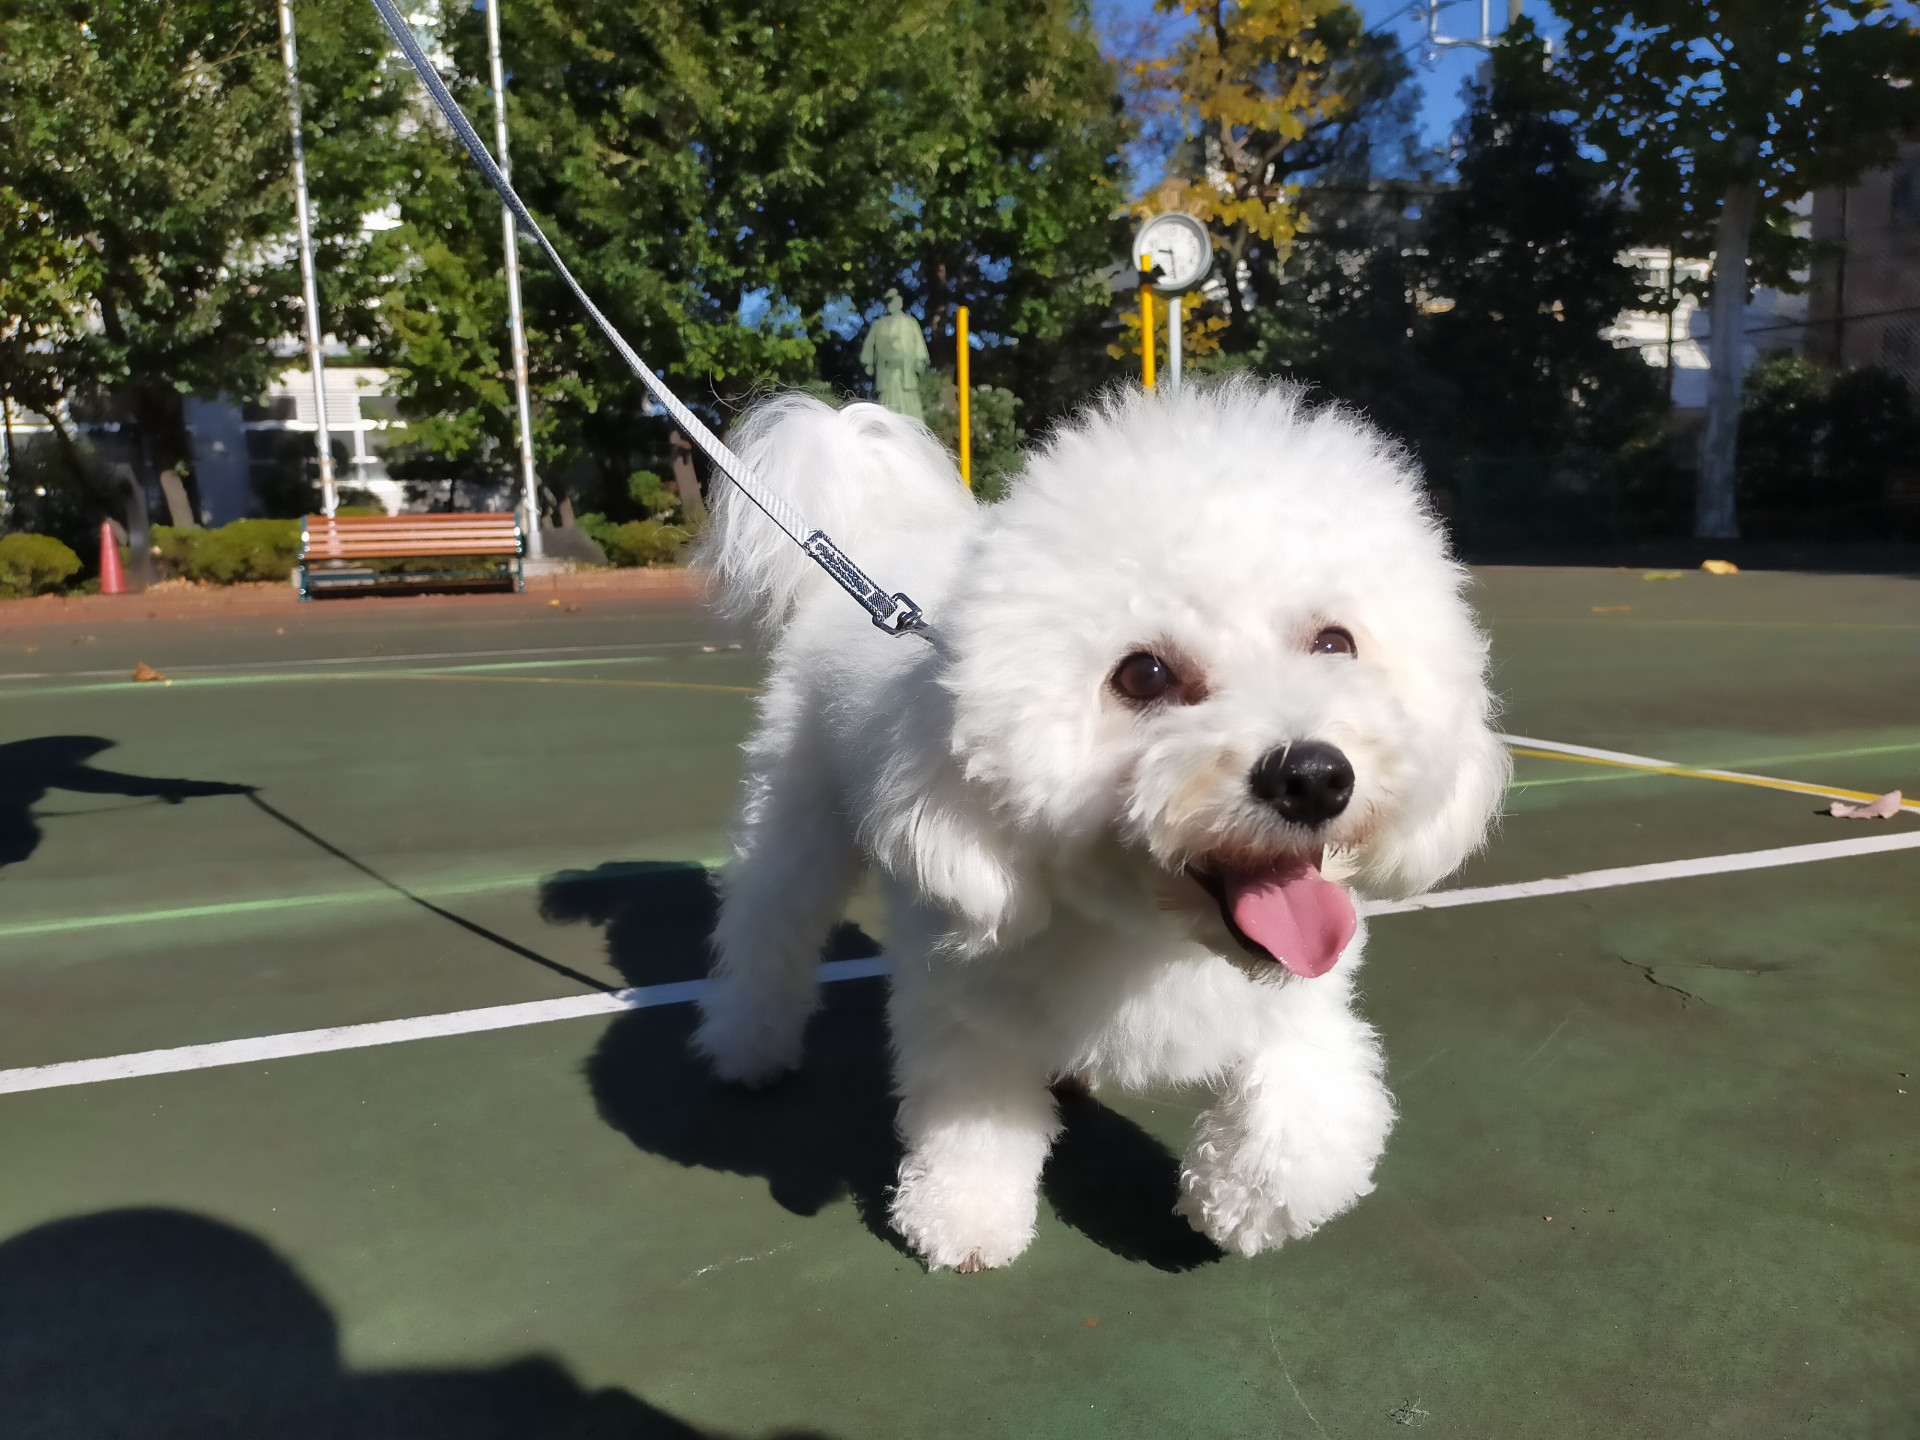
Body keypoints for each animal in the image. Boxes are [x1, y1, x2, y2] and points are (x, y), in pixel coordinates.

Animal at [683, 380, 1505, 1274]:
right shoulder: (963, 984)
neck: (1152, 934)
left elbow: (1309, 1111)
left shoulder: (1306, 996)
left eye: (1334, 643)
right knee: (769, 934)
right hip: (795, 821)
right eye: (1143, 674)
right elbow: (972, 1114)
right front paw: (964, 1215)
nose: (1314, 777)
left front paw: (1239, 1202)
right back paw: (750, 1047)